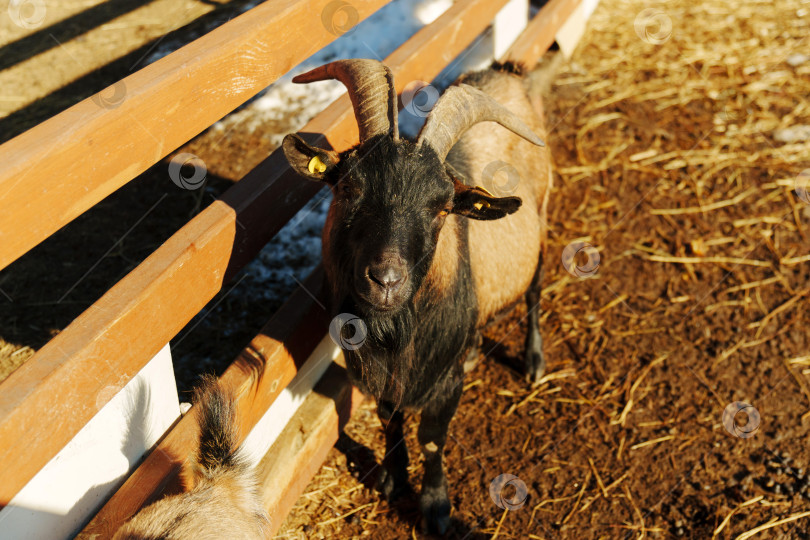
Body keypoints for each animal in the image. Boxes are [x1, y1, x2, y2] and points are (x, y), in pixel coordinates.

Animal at [282, 58, 551, 533]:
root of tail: (507, 70)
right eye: (347, 188)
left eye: (441, 208)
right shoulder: (379, 374)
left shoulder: (443, 381)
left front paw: (435, 508)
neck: (395, 332)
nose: (386, 279)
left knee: (535, 289)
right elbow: (389, 419)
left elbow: (431, 438)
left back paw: (534, 361)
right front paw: (392, 480)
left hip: (540, 221)